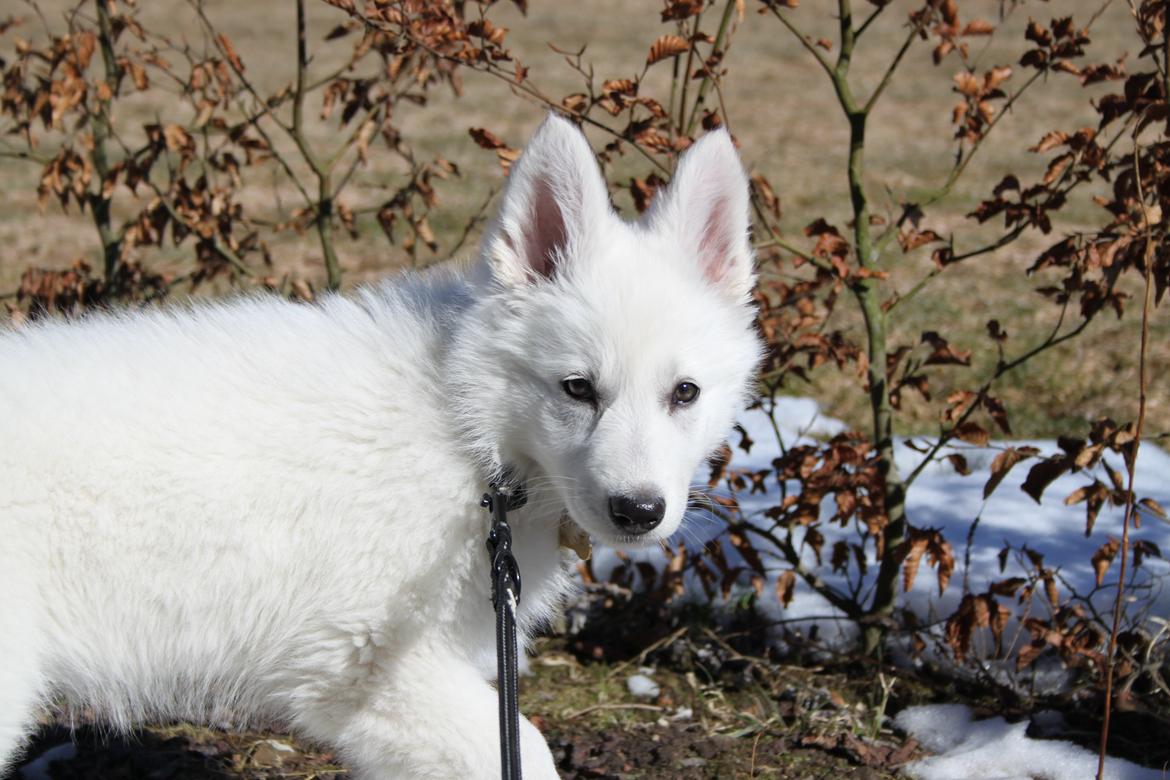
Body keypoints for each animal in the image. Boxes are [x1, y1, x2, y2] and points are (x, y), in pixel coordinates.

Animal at [0, 112, 762, 776]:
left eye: (684, 393)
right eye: (577, 389)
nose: (638, 512)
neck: (470, 437)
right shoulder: (365, 667)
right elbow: (527, 752)